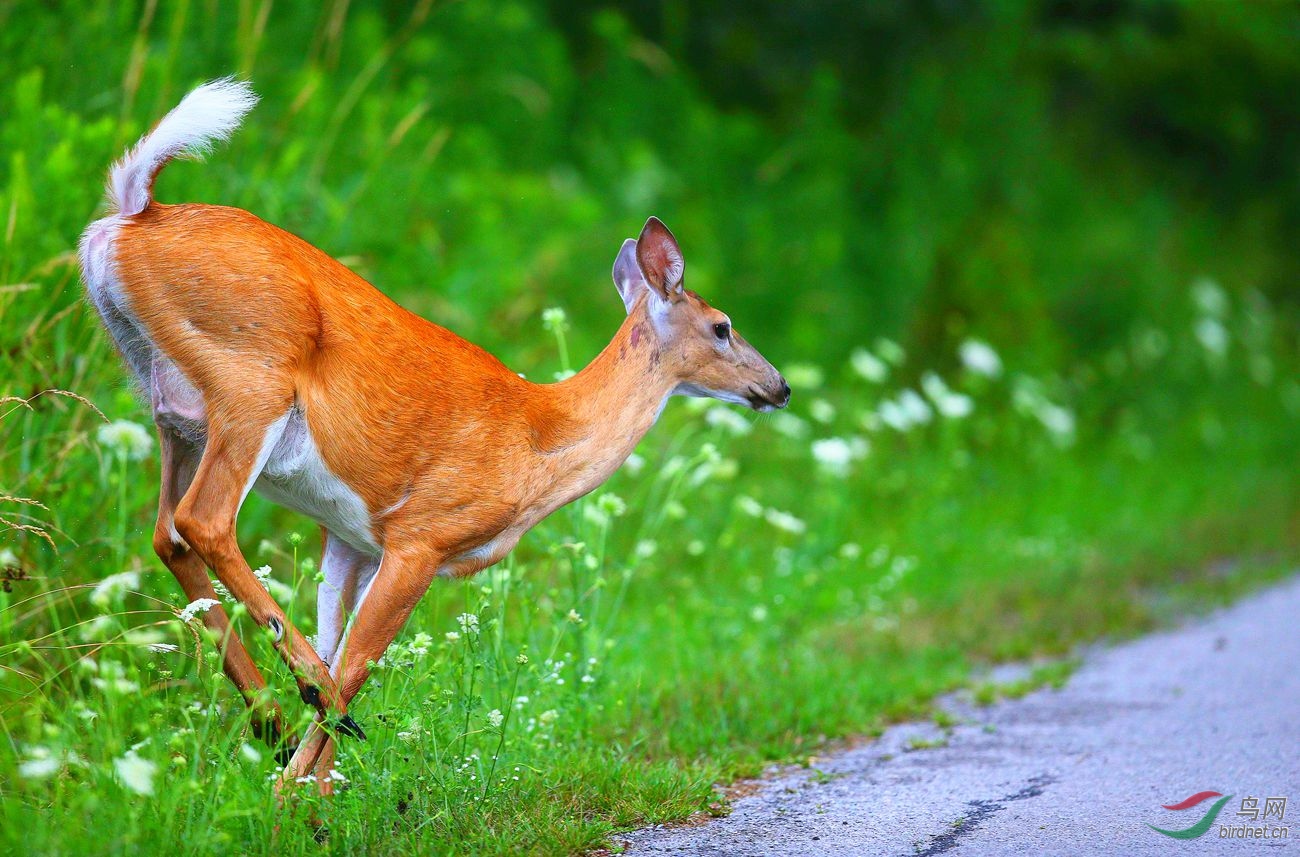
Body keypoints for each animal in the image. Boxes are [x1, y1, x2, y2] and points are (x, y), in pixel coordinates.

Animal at [81, 80, 790, 795]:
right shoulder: (423, 533)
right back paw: (301, 706)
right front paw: (293, 795)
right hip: (250, 382)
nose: (779, 386)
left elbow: (343, 644)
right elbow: (359, 662)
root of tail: (135, 211)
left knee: (166, 534)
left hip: (173, 410)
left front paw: (315, 795)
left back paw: (274, 721)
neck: (541, 435)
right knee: (203, 520)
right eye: (723, 327)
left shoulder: (353, 538)